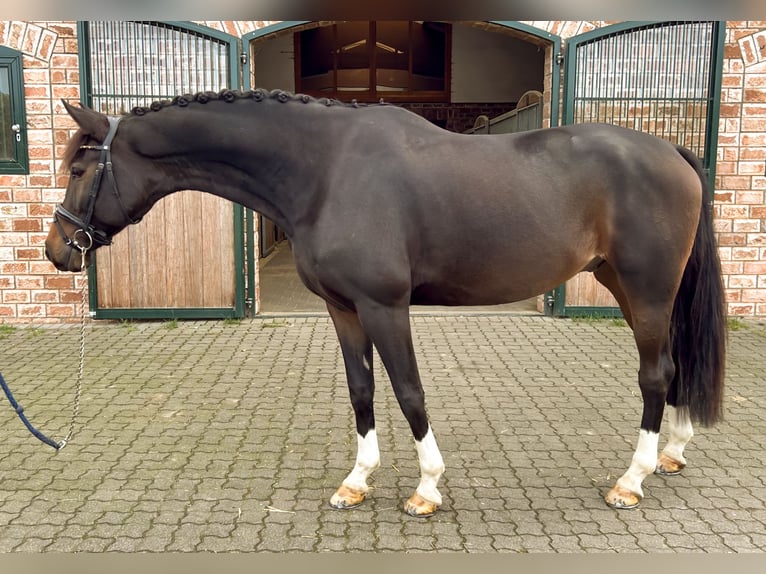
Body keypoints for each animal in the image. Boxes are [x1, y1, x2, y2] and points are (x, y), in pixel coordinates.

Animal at [45, 90, 728, 516]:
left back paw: (631, 480)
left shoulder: (384, 306)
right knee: (673, 366)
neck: (325, 170)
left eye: (79, 168)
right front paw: (356, 481)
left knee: (655, 374)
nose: (57, 250)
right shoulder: (343, 309)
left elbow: (408, 392)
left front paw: (427, 487)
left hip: (646, 290)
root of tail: (671, 151)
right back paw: (671, 454)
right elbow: (362, 390)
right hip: (627, 287)